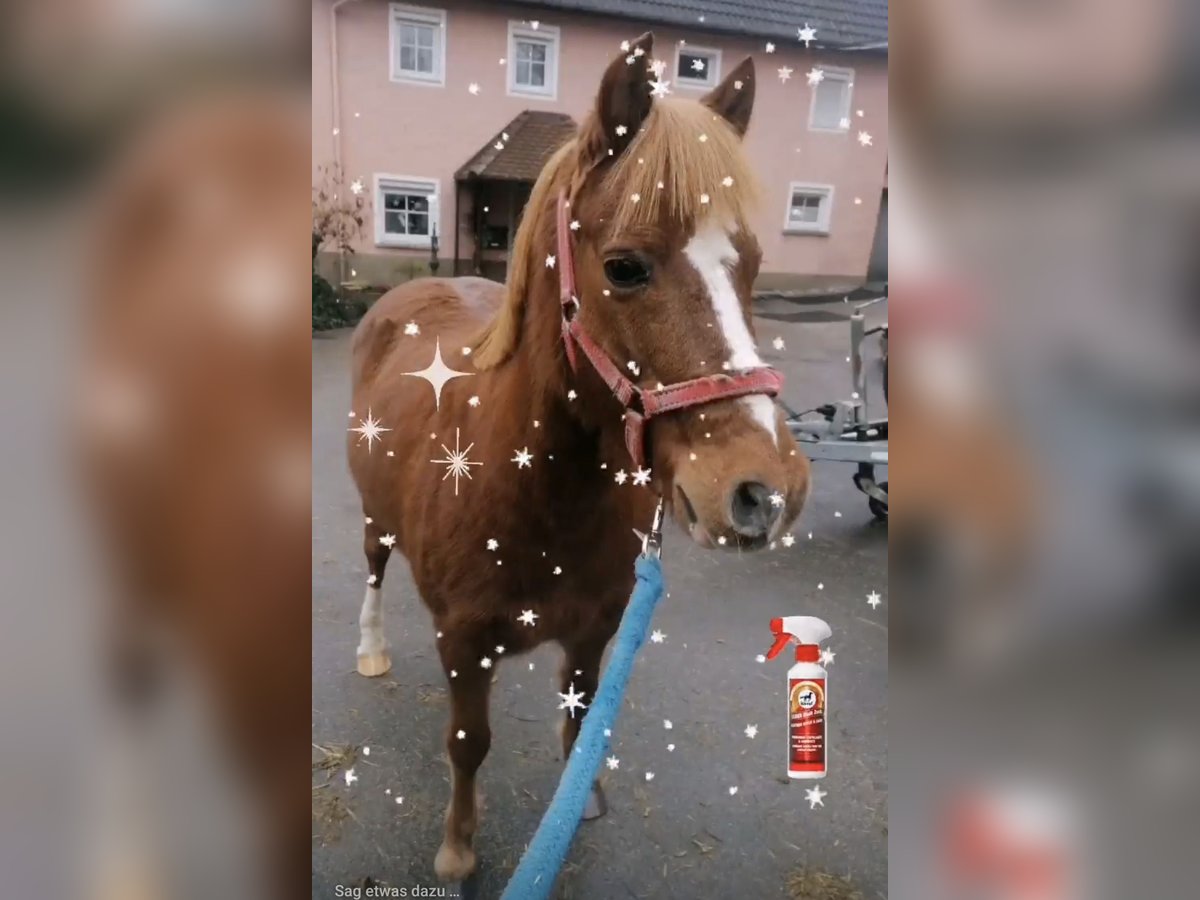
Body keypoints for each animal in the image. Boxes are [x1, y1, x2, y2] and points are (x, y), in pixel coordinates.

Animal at [350, 33, 811, 883]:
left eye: (754, 262)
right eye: (625, 266)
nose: (765, 491)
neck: (534, 494)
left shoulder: (596, 632)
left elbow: (580, 722)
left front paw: (580, 800)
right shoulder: (463, 644)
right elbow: (468, 744)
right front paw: (458, 849)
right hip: (372, 516)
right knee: (372, 566)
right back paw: (370, 649)